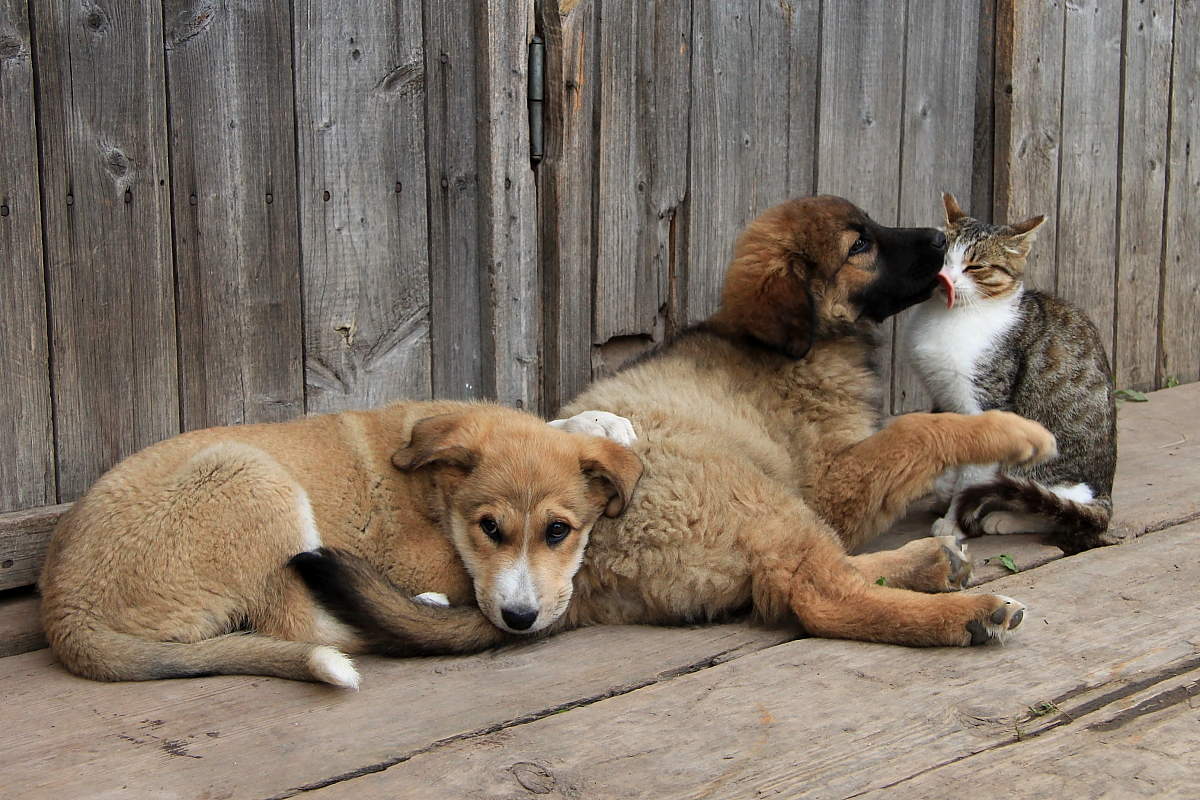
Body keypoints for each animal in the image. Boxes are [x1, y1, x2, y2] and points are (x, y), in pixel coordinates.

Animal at [302, 196, 1060, 652]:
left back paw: (931, 563)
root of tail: (566, 587)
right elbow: (916, 431)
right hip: (748, 492)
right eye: (860, 245)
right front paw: (1015, 431)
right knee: (816, 593)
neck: (792, 344)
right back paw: (964, 614)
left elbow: (910, 428)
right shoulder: (834, 481)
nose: (936, 235)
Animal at [902, 194, 1118, 556]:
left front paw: (953, 521)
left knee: (1059, 510)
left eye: (975, 266)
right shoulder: (944, 397)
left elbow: (972, 475)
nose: (945, 278)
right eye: (941, 258)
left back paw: (1006, 517)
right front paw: (944, 490)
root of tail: (1106, 498)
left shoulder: (988, 405)